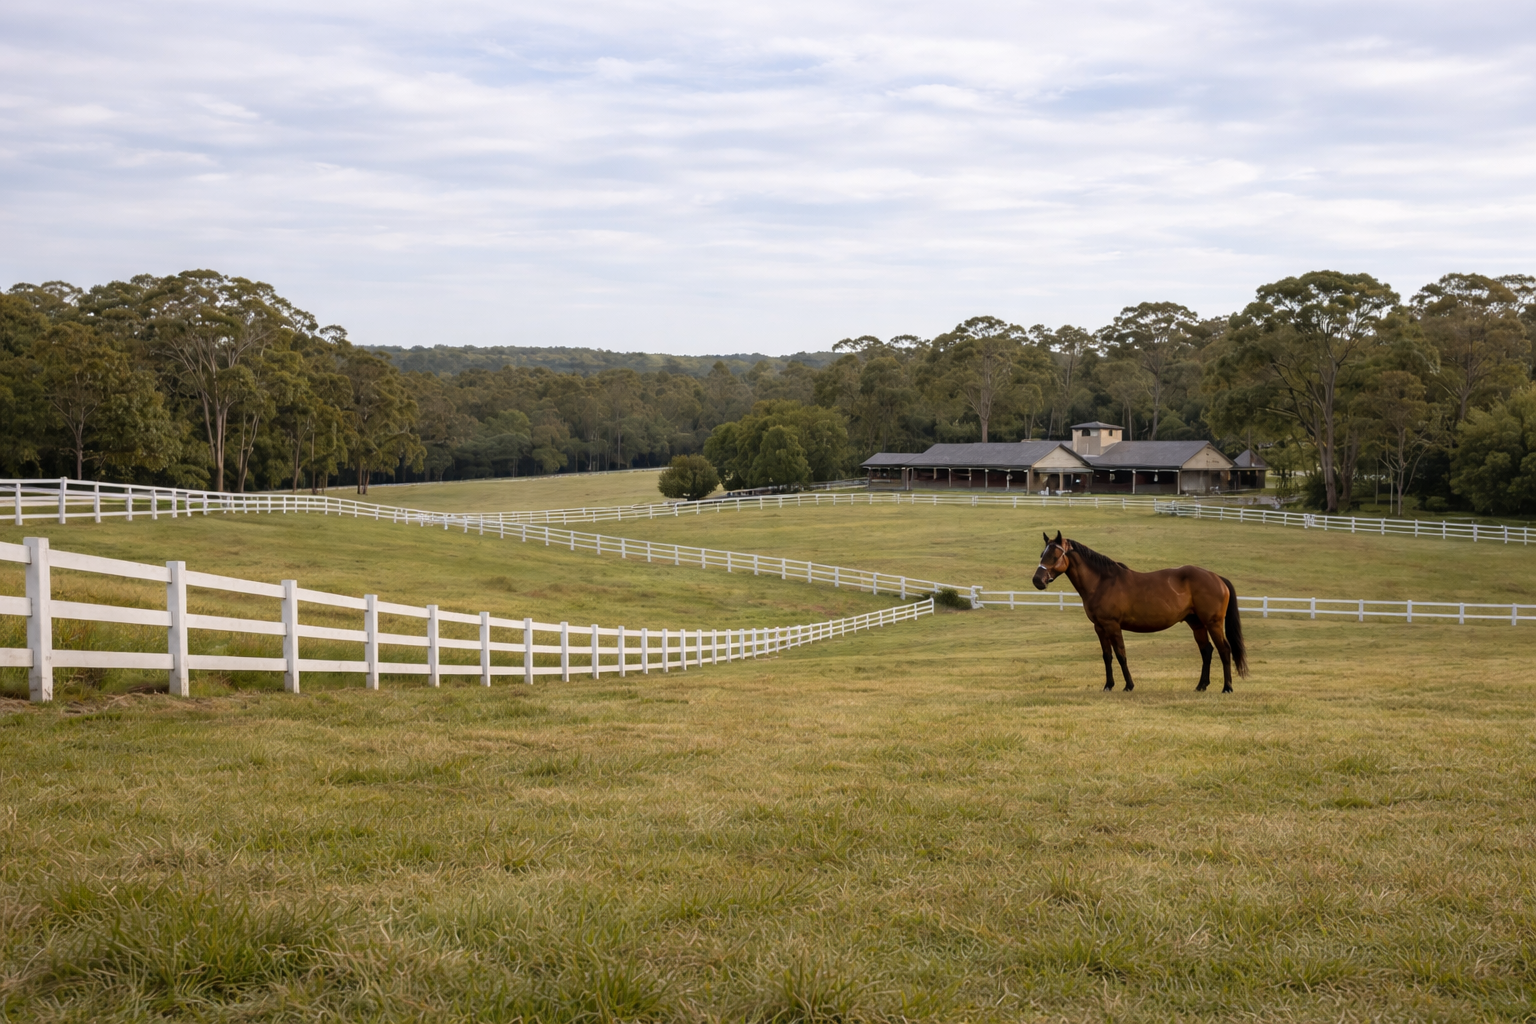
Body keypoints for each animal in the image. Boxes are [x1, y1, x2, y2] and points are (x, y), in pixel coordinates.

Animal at [1032, 531, 1249, 693]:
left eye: (1055, 555)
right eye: (1042, 554)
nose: (1037, 580)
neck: (1102, 582)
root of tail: (1217, 578)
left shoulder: (1112, 625)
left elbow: (1121, 654)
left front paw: (1129, 685)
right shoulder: (1099, 627)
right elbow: (1107, 656)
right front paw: (1108, 685)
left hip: (1213, 623)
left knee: (1224, 650)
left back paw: (1227, 687)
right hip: (1196, 624)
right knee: (1206, 651)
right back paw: (1201, 686)